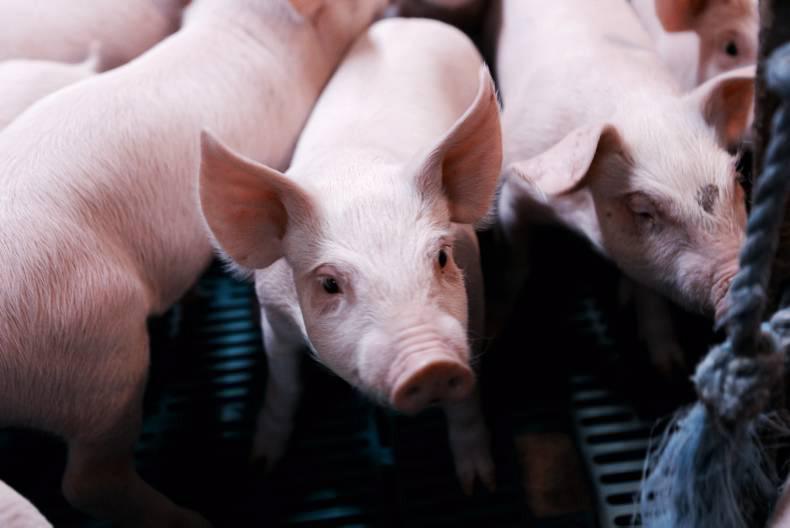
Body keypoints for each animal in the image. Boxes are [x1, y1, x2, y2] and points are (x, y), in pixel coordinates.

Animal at [199, 18, 503, 493]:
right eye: (329, 283)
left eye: (440, 258)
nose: (431, 364)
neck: (355, 171)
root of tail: (412, 20)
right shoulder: (272, 315)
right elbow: (284, 385)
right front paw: (260, 465)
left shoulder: (474, 299)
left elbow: (467, 397)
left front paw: (480, 487)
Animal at [495, 0, 754, 325]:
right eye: (642, 210)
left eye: (737, 180)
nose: (738, 284)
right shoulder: (513, 191)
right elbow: (517, 261)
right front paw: (502, 311)